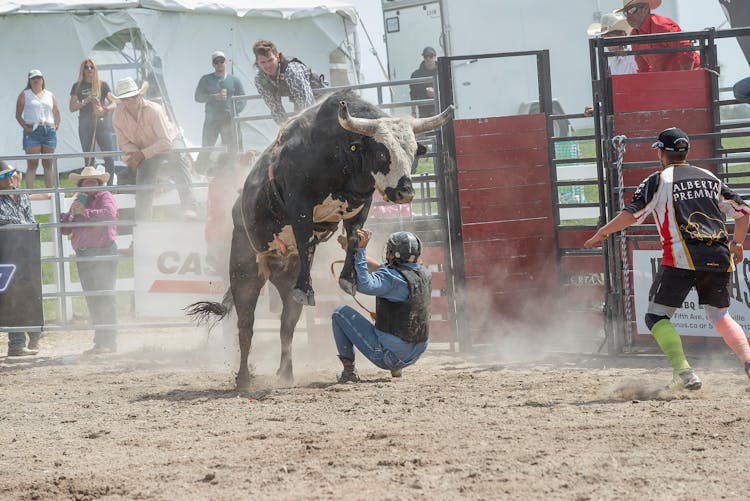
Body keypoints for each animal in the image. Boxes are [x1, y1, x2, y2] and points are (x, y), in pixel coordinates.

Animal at [191, 90, 456, 386]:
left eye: (411, 152)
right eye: (381, 152)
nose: (405, 192)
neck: (338, 153)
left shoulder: (361, 205)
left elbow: (352, 239)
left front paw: (348, 279)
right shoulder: (300, 206)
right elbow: (306, 241)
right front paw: (308, 288)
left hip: (284, 279)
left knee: (286, 326)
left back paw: (286, 373)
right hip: (245, 273)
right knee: (245, 326)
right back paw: (244, 378)